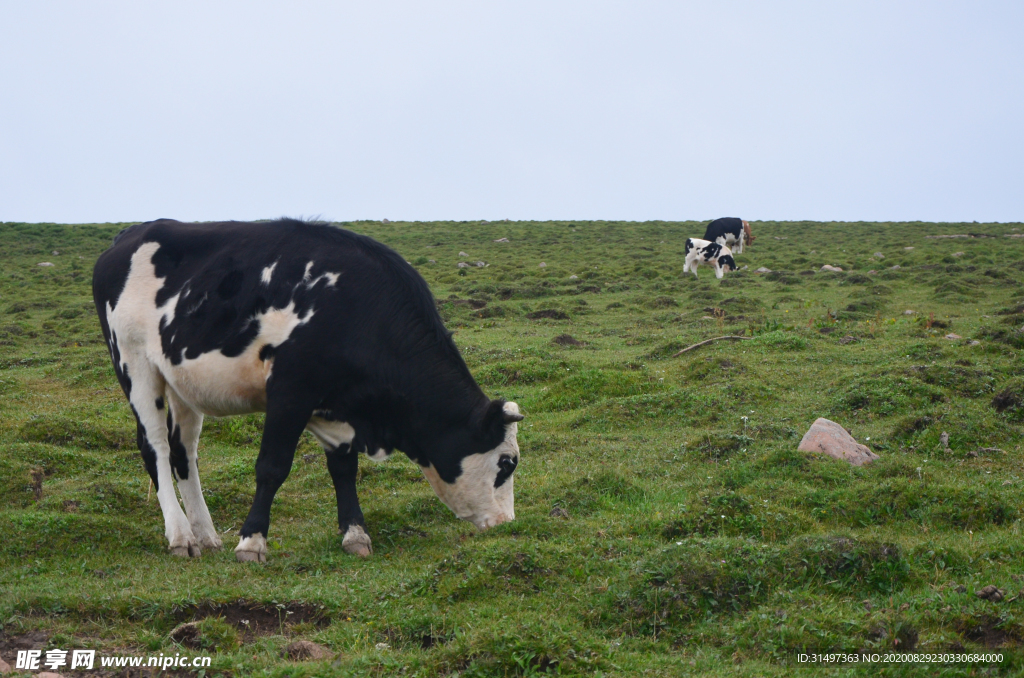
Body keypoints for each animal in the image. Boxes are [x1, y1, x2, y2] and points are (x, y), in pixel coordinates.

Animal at [92, 219, 524, 561]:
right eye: (507, 463)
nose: (508, 523)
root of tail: (130, 235)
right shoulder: (290, 391)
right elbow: (272, 466)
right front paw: (252, 542)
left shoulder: (337, 406)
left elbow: (344, 469)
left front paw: (355, 535)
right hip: (135, 365)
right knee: (155, 448)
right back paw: (181, 537)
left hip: (182, 382)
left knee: (184, 453)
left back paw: (208, 536)